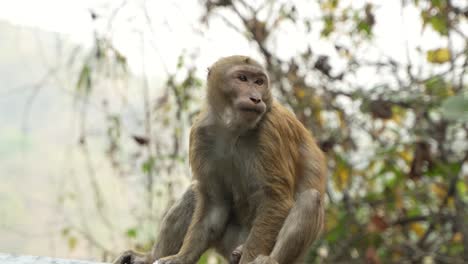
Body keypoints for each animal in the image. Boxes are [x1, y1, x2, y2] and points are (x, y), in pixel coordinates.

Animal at [112, 55, 326, 264]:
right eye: (242, 78)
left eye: (259, 82)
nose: (256, 98)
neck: (234, 129)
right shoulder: (200, 134)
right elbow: (214, 202)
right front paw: (182, 257)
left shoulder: (272, 130)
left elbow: (276, 199)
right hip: (228, 241)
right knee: (194, 193)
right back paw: (150, 257)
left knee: (310, 199)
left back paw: (267, 259)